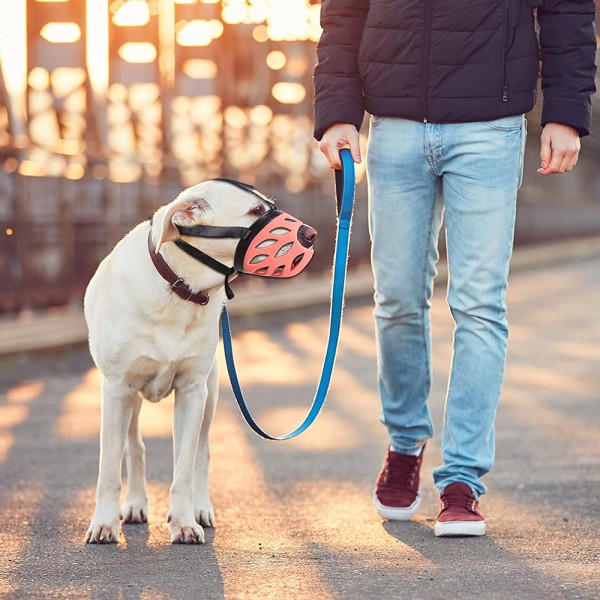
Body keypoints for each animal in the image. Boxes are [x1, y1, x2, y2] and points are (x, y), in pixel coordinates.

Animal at [82, 179, 284, 544]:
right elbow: (109, 470)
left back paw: (200, 509)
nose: (311, 234)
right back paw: (135, 504)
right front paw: (104, 523)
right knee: (134, 447)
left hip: (210, 395)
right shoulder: (117, 390)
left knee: (201, 453)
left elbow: (185, 469)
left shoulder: (192, 392)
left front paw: (184, 522)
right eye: (255, 211)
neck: (179, 288)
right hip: (130, 399)